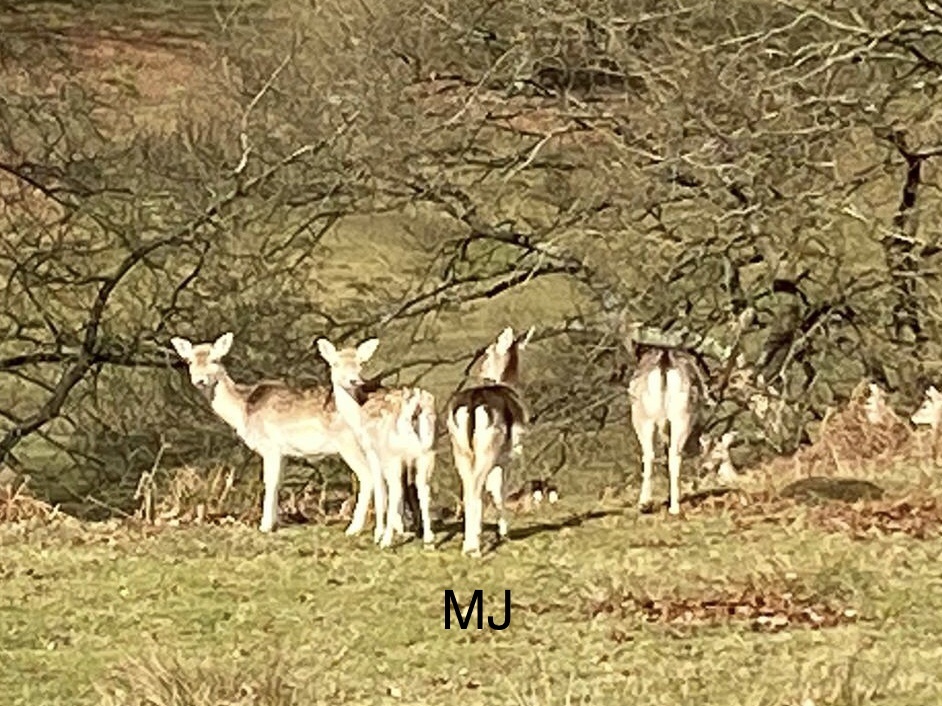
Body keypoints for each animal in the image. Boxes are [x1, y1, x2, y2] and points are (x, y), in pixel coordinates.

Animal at [169, 332, 377, 536]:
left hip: (349, 443)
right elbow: (278, 482)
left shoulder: (270, 446)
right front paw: (275, 523)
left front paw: (265, 526)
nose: (199, 380)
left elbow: (269, 481)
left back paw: (353, 529)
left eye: (214, 359)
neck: (243, 410)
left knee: (367, 476)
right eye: (189, 360)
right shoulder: (283, 452)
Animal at [314, 336, 437, 549]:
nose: (354, 380)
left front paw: (380, 533)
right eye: (335, 363)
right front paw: (403, 529)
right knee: (424, 487)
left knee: (395, 489)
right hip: (427, 451)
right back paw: (429, 539)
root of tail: (414, 408)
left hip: (392, 453)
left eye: (360, 363)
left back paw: (385, 541)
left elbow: (381, 489)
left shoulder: (372, 450)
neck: (356, 417)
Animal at [446, 325, 534, 557]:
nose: (479, 371)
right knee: (477, 489)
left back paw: (468, 545)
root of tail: (471, 405)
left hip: (461, 450)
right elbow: (498, 490)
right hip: (488, 450)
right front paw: (504, 532)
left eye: (486, 352)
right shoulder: (505, 458)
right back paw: (474, 548)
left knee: (467, 489)